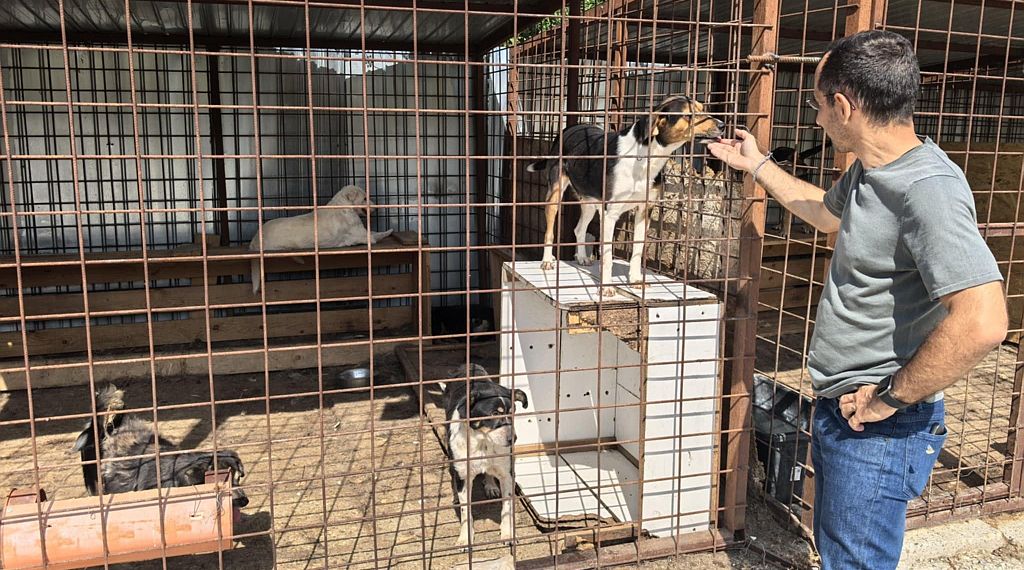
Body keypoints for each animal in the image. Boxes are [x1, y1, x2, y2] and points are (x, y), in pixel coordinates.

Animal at [249, 184, 393, 293]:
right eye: (364, 198)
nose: (376, 208)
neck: (344, 206)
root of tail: (255, 238)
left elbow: (375, 232)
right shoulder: (364, 236)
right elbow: (378, 234)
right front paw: (390, 231)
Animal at [441, 363, 528, 547]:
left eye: (513, 412)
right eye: (494, 414)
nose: (513, 439)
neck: (483, 442)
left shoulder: (507, 474)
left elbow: (507, 508)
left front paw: (508, 534)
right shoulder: (464, 475)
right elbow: (466, 512)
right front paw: (465, 539)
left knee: (489, 472)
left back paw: (490, 485)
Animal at [527, 95, 724, 296]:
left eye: (702, 108)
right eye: (690, 114)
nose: (722, 124)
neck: (646, 157)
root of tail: (571, 127)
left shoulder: (644, 211)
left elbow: (637, 250)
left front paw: (635, 279)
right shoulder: (610, 214)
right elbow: (607, 256)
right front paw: (606, 287)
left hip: (590, 202)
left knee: (579, 229)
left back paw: (581, 257)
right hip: (555, 195)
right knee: (550, 231)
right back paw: (547, 261)